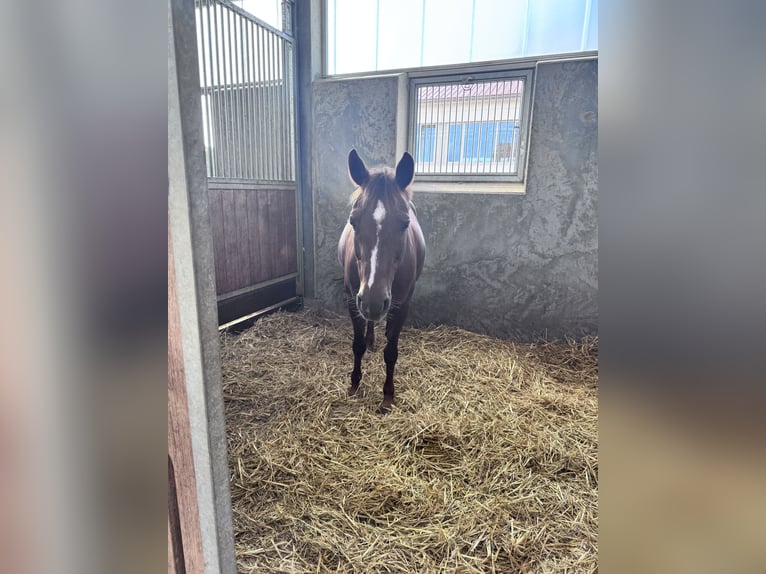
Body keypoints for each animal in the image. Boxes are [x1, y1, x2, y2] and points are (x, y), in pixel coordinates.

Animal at [340, 148, 428, 414]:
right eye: (353, 220)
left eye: (405, 223)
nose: (373, 301)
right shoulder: (352, 299)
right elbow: (357, 344)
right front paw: (354, 384)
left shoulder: (402, 304)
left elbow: (391, 352)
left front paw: (388, 395)